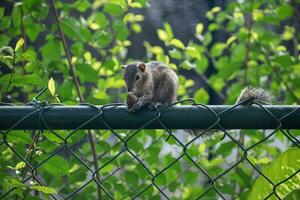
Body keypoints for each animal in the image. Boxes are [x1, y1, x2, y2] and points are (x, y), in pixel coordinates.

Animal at [122, 60, 272, 111]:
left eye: (137, 77)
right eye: (124, 77)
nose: (129, 89)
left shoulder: (150, 87)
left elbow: (147, 96)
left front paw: (140, 103)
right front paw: (128, 102)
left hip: (168, 89)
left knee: (165, 102)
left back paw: (156, 103)